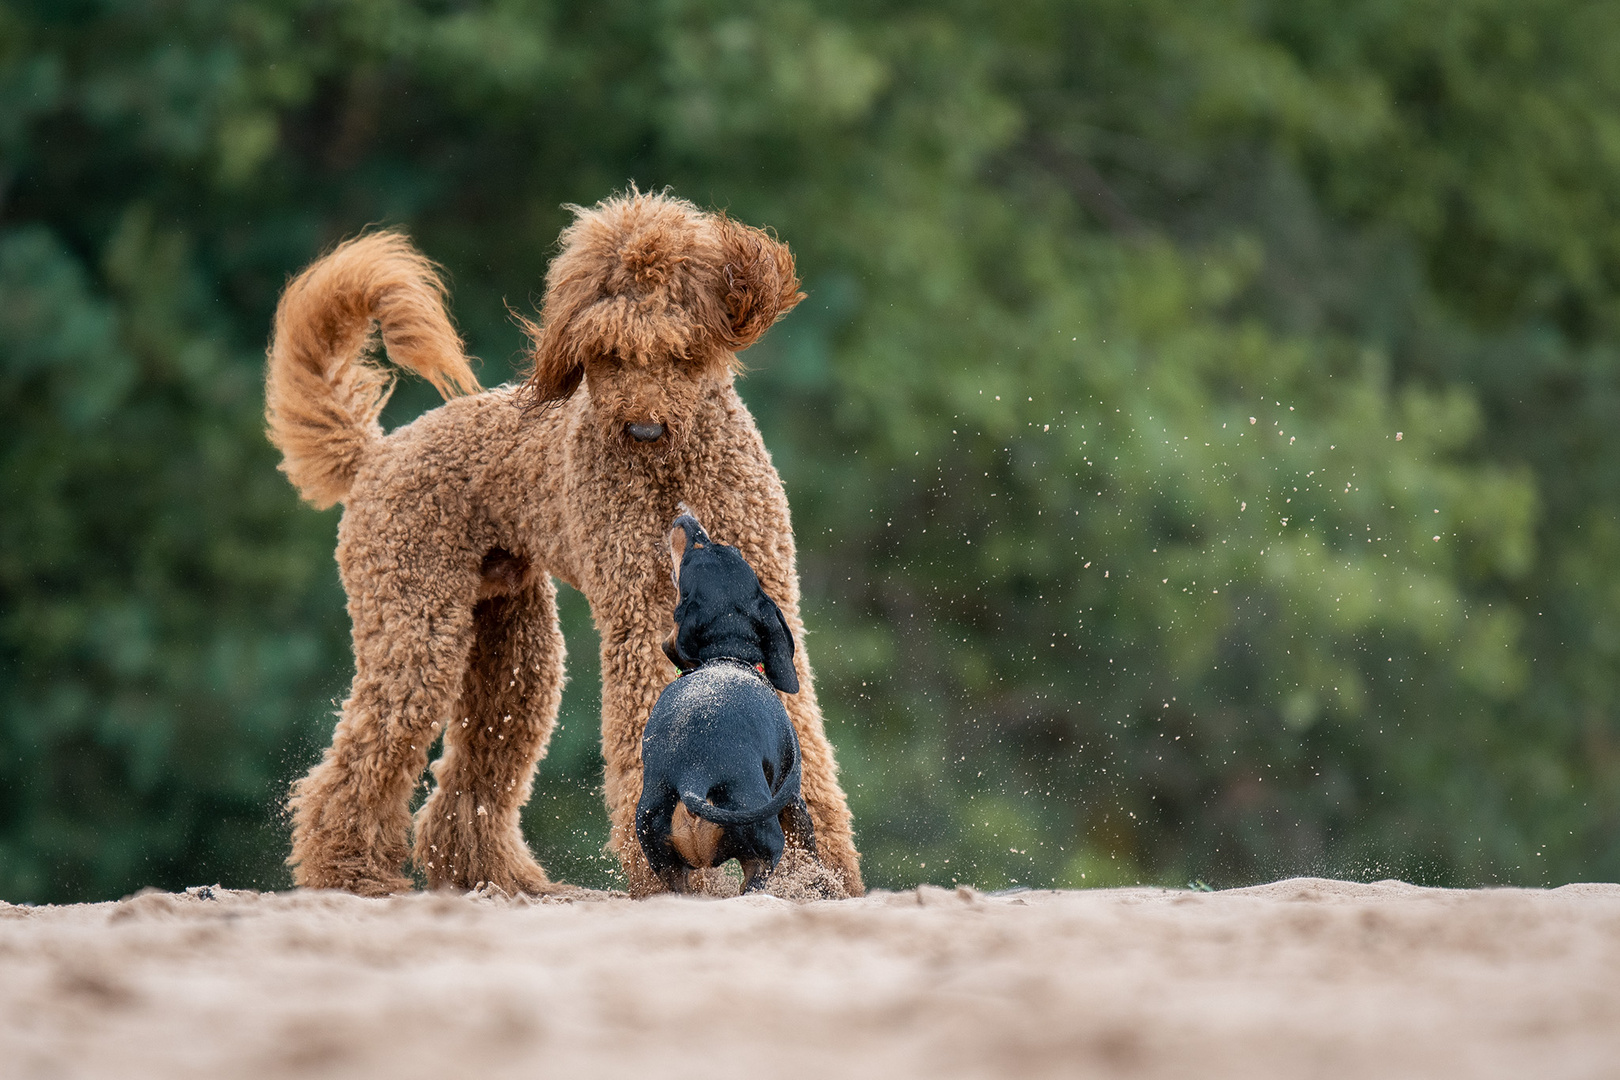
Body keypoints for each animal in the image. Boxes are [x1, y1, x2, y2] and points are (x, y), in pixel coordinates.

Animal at [268, 190, 861, 900]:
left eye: (683, 350)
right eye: (606, 353)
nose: (641, 427)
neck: (674, 464)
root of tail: (375, 454)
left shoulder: (767, 586)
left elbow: (802, 736)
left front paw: (822, 873)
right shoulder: (641, 611)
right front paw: (668, 867)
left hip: (514, 652)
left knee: (469, 782)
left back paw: (500, 880)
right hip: (416, 629)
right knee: (356, 763)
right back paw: (351, 873)